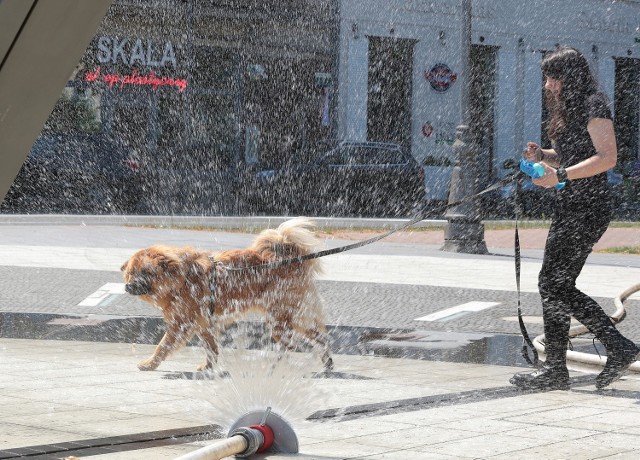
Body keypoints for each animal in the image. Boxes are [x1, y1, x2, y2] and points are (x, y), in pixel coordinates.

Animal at [119, 217, 336, 372]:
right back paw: (327, 362)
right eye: (130, 273)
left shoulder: (181, 323)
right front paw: (208, 367)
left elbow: (163, 345)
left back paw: (275, 365)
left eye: (145, 273)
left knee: (289, 344)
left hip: (279, 316)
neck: (182, 278)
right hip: (294, 316)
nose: (128, 286)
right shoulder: (203, 324)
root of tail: (291, 257)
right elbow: (211, 348)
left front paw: (150, 363)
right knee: (319, 337)